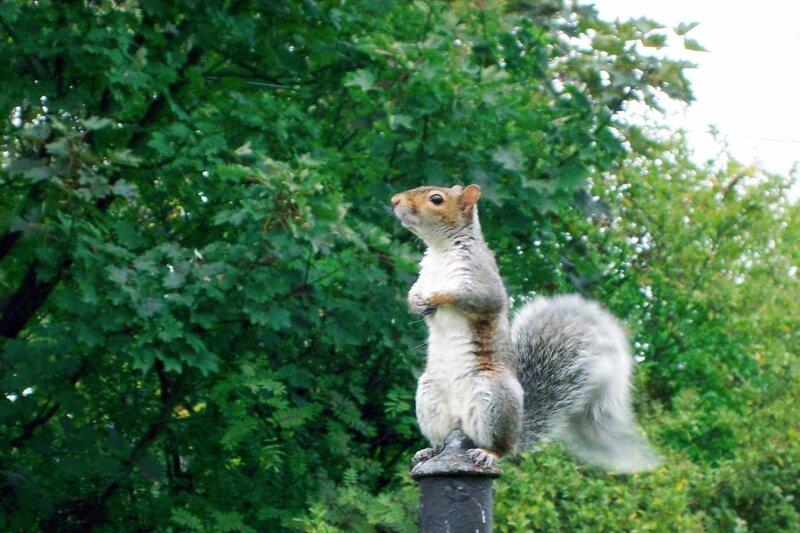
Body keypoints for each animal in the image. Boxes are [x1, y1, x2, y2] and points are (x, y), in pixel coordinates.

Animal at [391, 184, 660, 473]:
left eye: (436, 199)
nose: (395, 200)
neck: (440, 250)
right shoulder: (423, 278)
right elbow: (413, 292)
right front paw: (418, 302)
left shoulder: (482, 281)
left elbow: (472, 298)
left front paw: (436, 298)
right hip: (429, 397)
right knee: (443, 441)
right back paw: (430, 450)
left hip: (493, 397)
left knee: (501, 448)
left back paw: (488, 453)